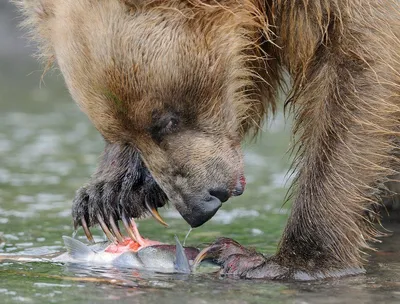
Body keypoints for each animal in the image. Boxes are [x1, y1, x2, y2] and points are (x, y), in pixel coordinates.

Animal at [14, 0, 400, 280]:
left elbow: (358, 71)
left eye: (166, 119)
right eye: (117, 131)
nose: (199, 207)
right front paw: (108, 196)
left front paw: (288, 261)